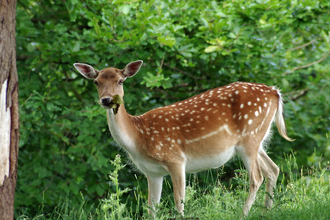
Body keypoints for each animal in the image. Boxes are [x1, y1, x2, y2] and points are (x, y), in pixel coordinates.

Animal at [73, 59, 292, 217]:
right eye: (96, 82)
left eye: (121, 81)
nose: (106, 100)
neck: (138, 138)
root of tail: (275, 92)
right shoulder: (152, 172)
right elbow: (151, 209)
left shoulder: (176, 159)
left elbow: (179, 204)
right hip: (257, 140)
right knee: (273, 169)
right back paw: (266, 212)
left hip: (250, 136)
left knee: (256, 177)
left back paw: (244, 215)